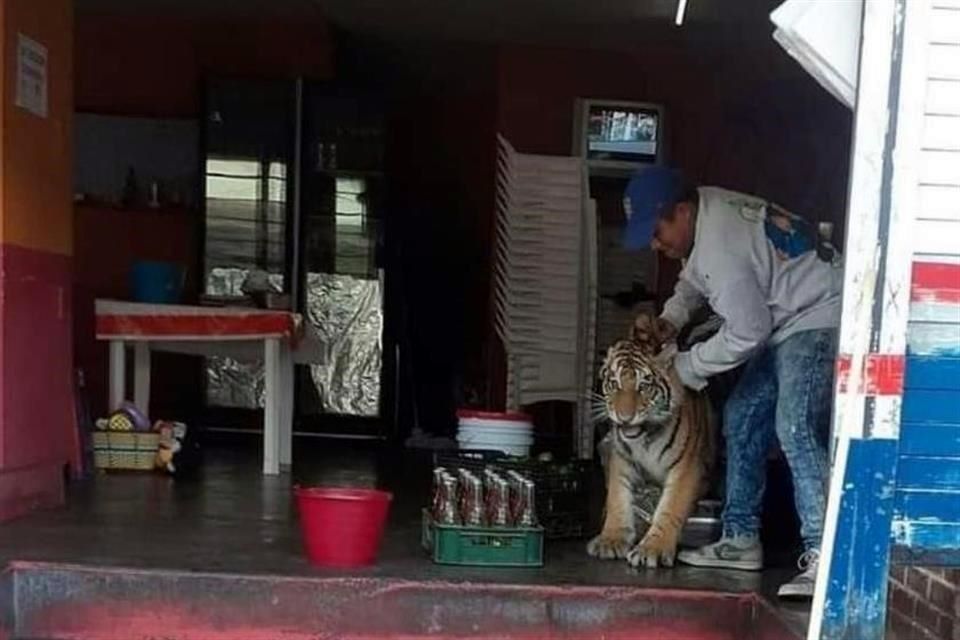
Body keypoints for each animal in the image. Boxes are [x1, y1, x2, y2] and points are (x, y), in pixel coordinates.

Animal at [587, 316, 717, 568]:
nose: (624, 417)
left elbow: (670, 508)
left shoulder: (686, 468)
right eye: (614, 384)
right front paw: (611, 540)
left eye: (644, 386)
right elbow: (617, 500)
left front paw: (652, 549)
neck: (644, 440)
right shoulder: (621, 461)